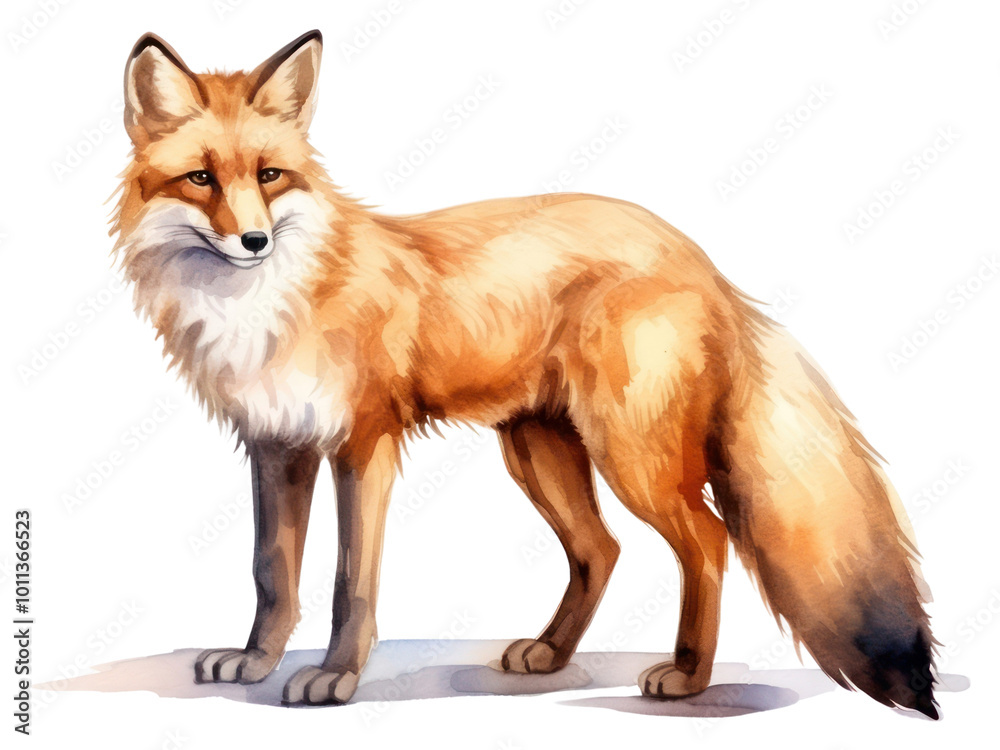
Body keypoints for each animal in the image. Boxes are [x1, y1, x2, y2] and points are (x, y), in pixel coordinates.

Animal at [112, 29, 939, 717]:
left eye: (271, 175)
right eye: (200, 179)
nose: (252, 241)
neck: (270, 306)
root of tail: (701, 261)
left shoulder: (363, 444)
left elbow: (353, 583)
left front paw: (337, 677)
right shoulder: (277, 446)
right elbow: (271, 573)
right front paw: (255, 662)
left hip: (629, 456)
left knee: (706, 541)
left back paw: (687, 675)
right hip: (538, 450)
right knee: (601, 550)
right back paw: (552, 654)